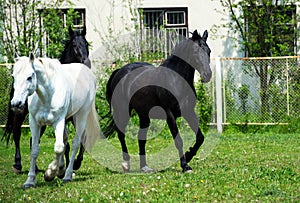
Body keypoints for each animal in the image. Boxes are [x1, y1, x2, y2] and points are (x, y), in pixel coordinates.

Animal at [2, 26, 90, 174]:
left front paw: (74, 164)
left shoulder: (73, 117)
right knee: (17, 134)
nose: (86, 62)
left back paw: (36, 168)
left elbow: (79, 139)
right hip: (20, 112)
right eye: (74, 45)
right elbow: (65, 143)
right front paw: (65, 167)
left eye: (86, 43)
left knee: (32, 141)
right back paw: (18, 164)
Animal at [11, 53, 100, 188]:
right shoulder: (34, 122)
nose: (16, 103)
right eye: (13, 76)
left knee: (75, 143)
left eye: (29, 77)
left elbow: (58, 147)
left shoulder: (58, 121)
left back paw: (67, 174)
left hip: (80, 116)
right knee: (65, 140)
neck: (47, 95)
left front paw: (49, 173)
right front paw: (30, 181)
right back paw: (62, 169)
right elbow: (35, 150)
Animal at [104, 29, 212, 173]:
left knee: (141, 138)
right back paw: (126, 164)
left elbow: (200, 137)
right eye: (195, 51)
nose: (207, 75)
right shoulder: (170, 115)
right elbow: (179, 141)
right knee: (121, 134)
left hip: (144, 116)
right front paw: (185, 165)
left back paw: (144, 167)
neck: (175, 79)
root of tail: (119, 71)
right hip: (123, 111)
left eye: (208, 51)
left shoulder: (189, 112)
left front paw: (189, 156)